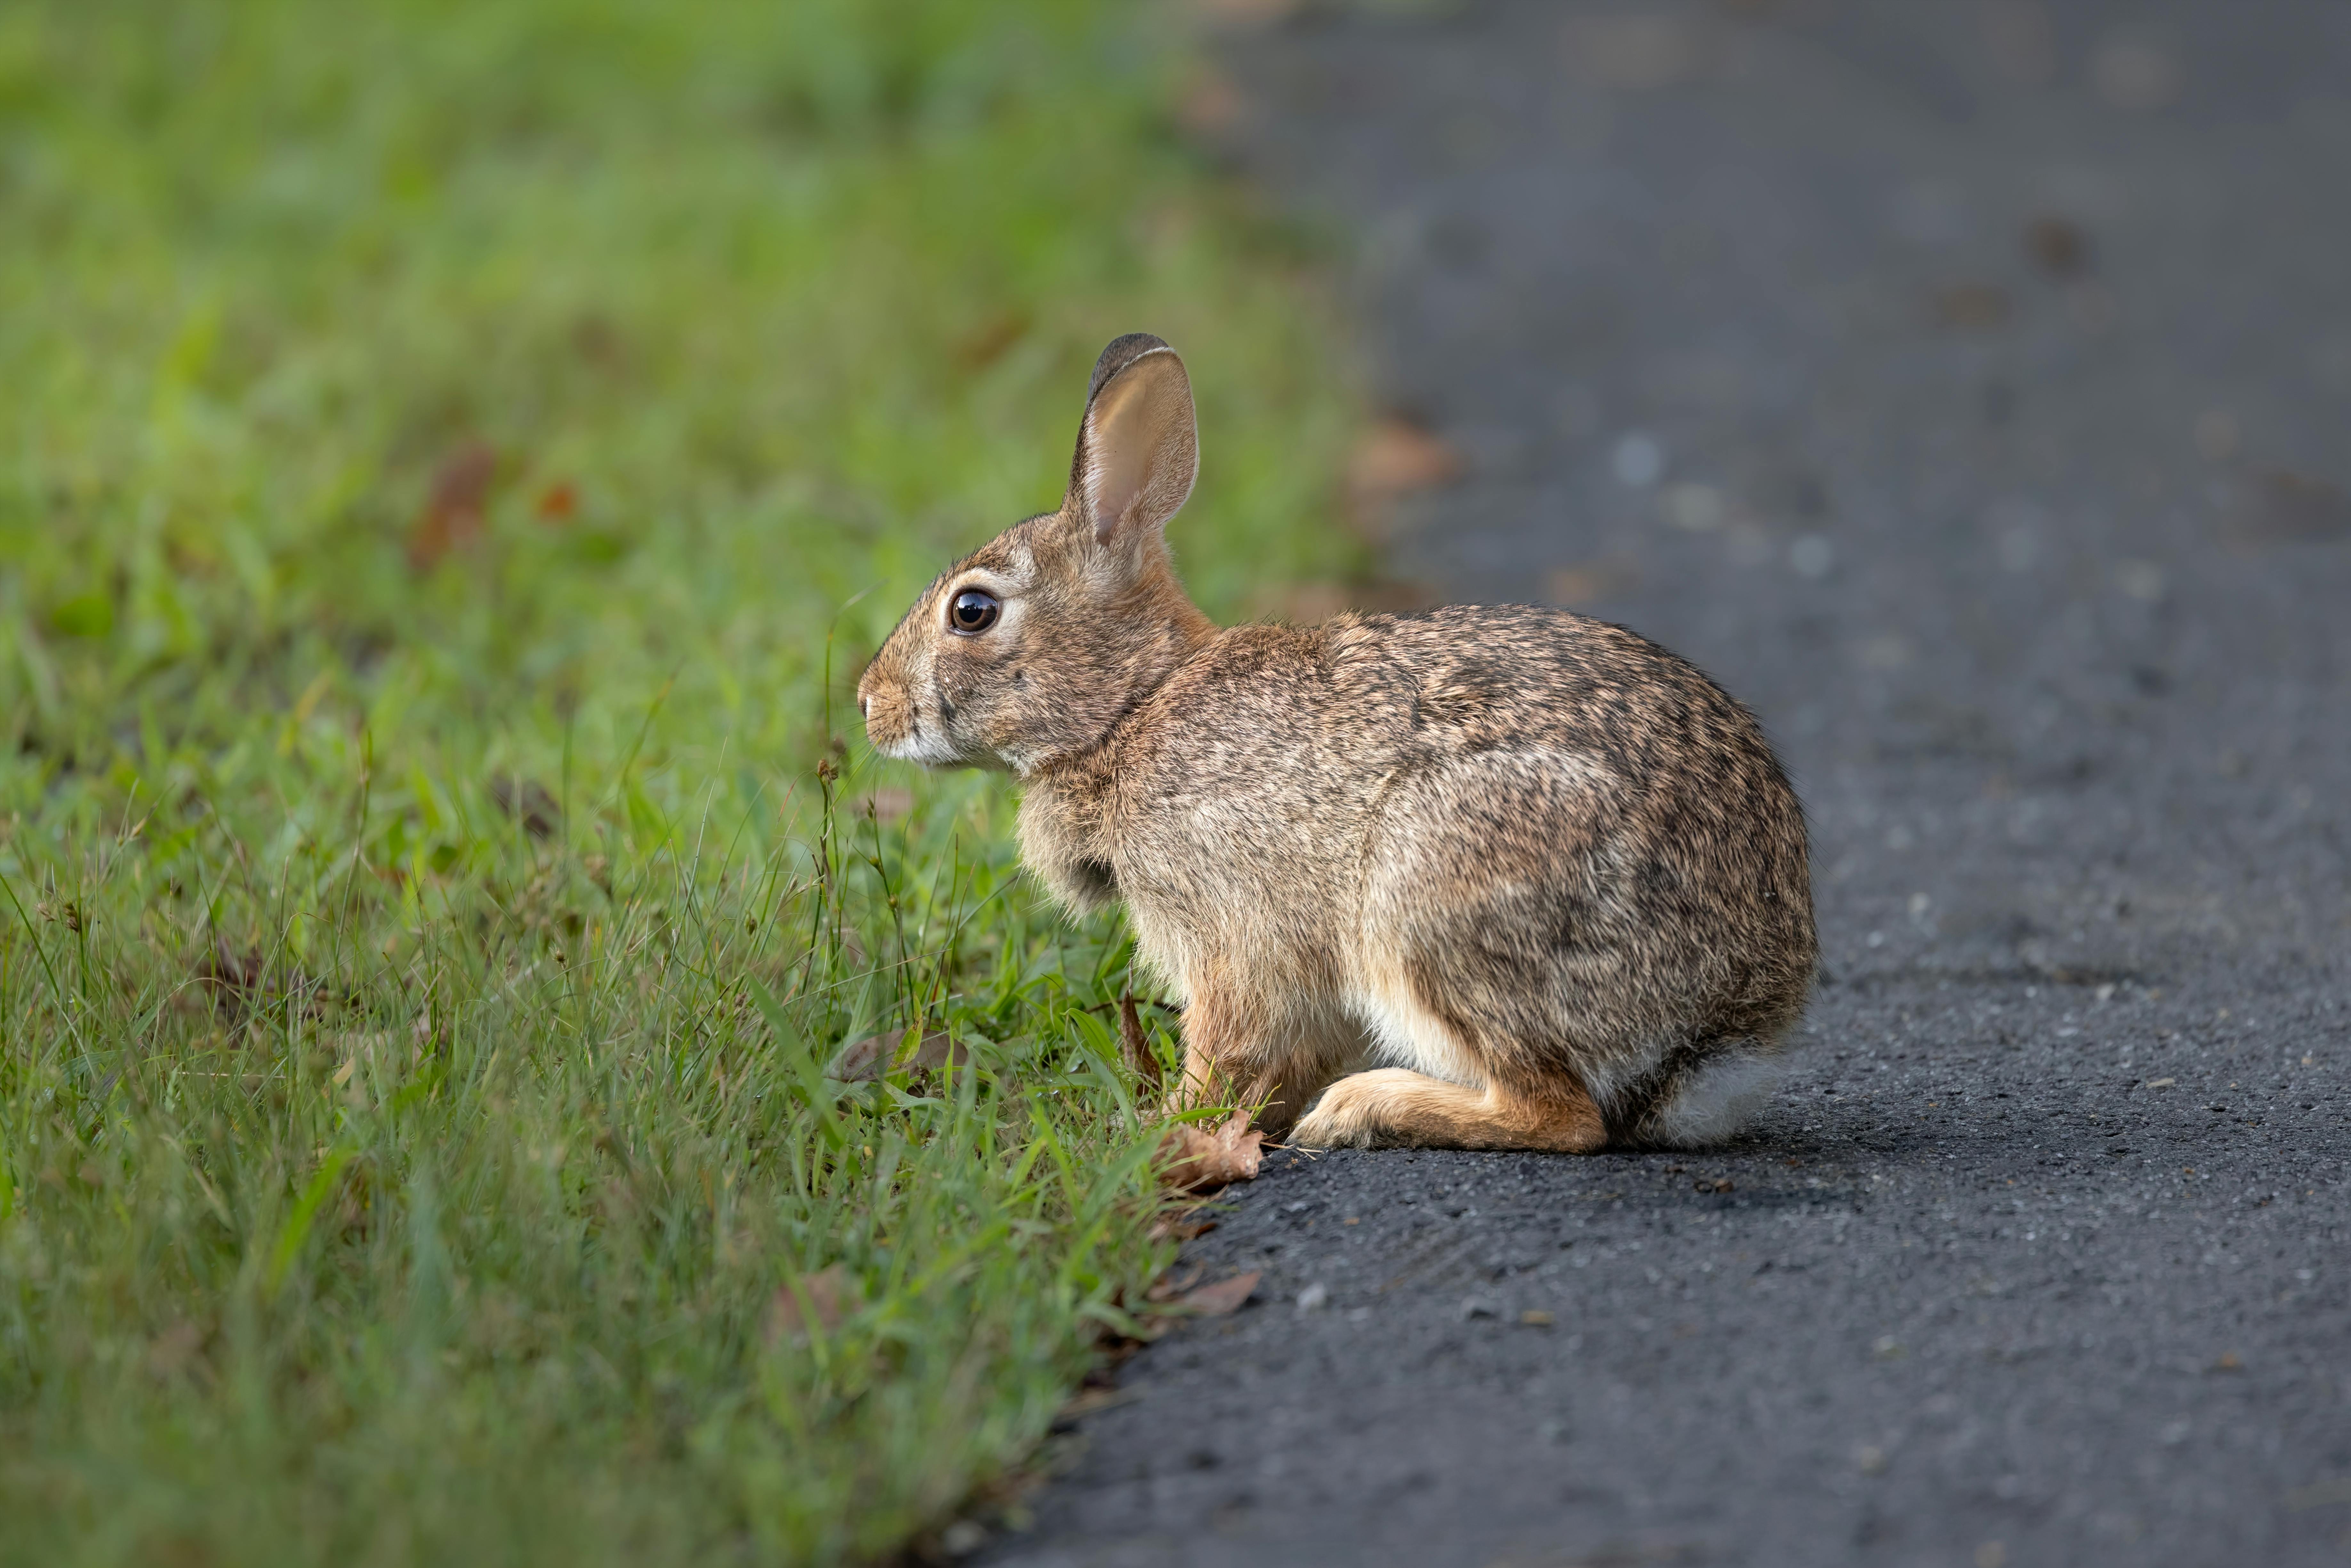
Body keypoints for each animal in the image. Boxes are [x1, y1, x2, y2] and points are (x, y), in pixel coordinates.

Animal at [857, 333, 1816, 1151]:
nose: (870, 704)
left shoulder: (1231, 933)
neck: (1132, 706)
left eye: (972, 611)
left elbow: (1223, 1043)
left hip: (1428, 896)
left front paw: (1160, 1131)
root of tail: (1727, 1023)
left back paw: (1363, 1110)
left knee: (1558, 1114)